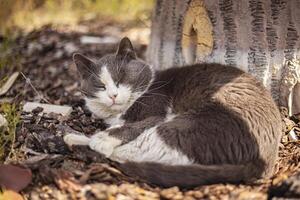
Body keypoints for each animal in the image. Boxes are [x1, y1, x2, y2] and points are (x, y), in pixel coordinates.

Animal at [63, 37, 282, 188]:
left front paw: (103, 138)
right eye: (100, 86)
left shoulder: (157, 112)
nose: (113, 95)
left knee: (134, 152)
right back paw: (74, 138)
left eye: (121, 79)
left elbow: (132, 127)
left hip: (187, 126)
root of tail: (263, 162)